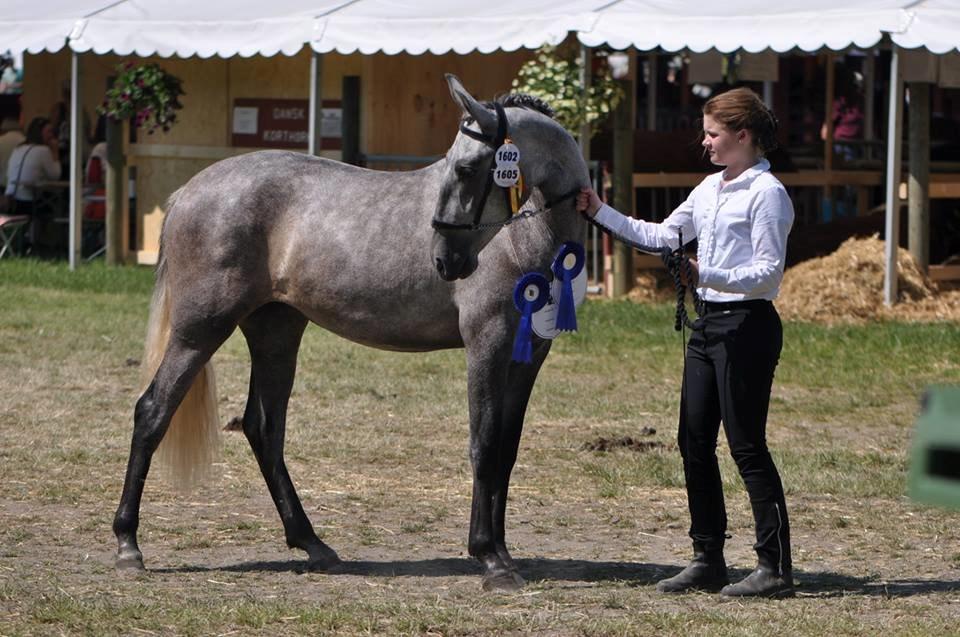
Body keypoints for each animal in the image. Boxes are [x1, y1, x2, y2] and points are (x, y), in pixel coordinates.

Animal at [113, 76, 592, 592]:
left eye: (465, 168)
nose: (445, 259)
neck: (525, 238)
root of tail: (187, 192)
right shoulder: (488, 343)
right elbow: (483, 446)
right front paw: (490, 558)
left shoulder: (528, 356)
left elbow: (506, 451)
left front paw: (502, 553)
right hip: (200, 331)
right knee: (153, 412)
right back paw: (127, 544)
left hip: (275, 331)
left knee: (263, 428)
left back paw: (313, 544)